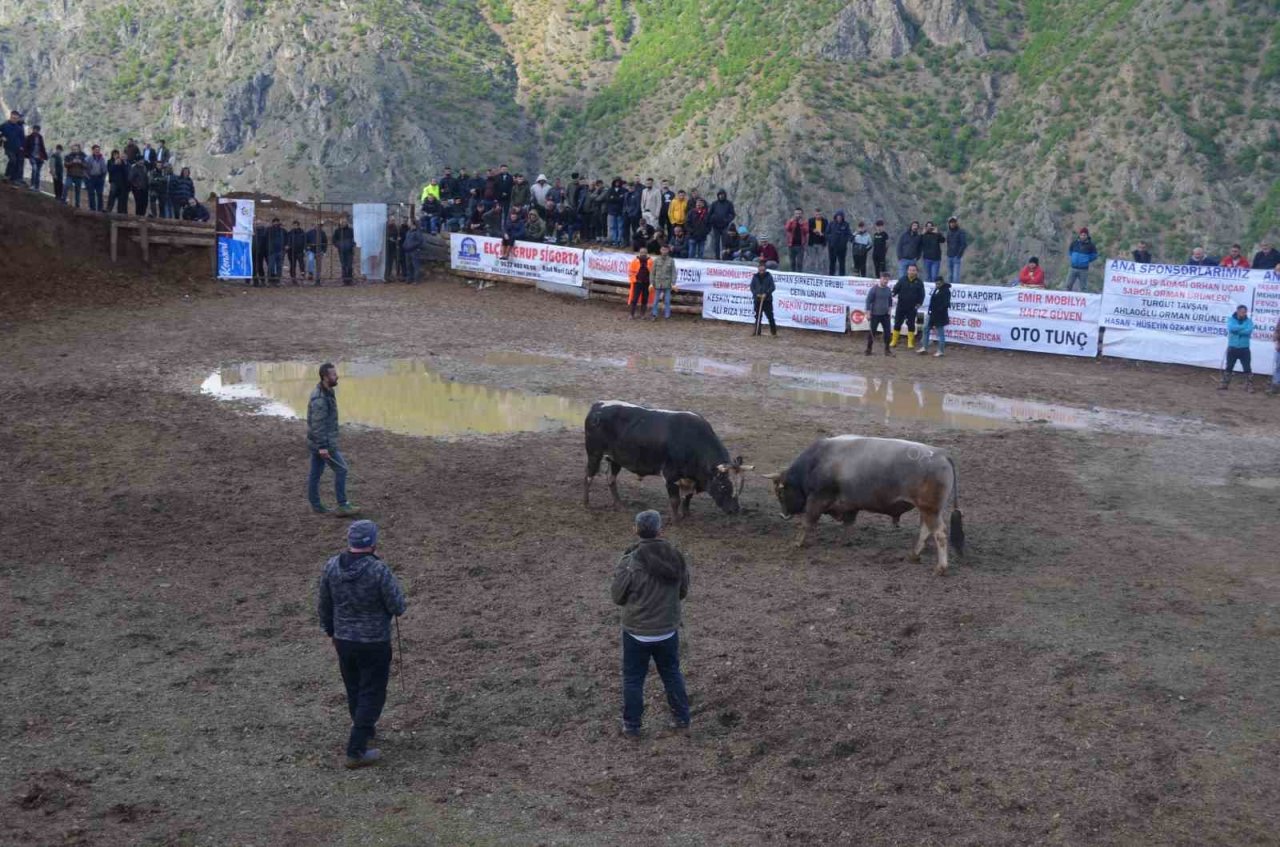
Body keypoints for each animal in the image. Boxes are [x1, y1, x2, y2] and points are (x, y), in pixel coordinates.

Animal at [762, 437, 962, 578]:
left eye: (780, 492)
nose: (783, 515)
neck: (817, 462)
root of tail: (940, 453)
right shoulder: (850, 506)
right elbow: (848, 525)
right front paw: (843, 541)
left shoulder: (817, 500)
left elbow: (807, 523)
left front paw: (797, 543)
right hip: (927, 510)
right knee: (925, 530)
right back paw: (914, 555)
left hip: (930, 510)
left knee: (940, 534)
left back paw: (940, 568)